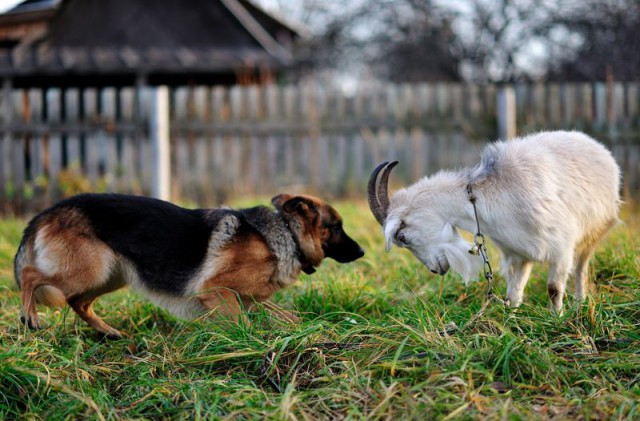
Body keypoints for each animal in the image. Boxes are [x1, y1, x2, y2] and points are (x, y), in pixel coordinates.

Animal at [15, 192, 362, 336]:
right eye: (336, 226)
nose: (361, 252)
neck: (285, 234)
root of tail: (48, 211)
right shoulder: (217, 291)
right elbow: (244, 325)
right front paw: (252, 345)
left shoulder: (249, 299)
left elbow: (290, 316)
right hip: (91, 269)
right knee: (31, 275)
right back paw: (30, 317)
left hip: (110, 275)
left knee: (78, 302)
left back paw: (108, 331)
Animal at [368, 130, 624, 310]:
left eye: (402, 236)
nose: (435, 270)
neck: (482, 196)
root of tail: (600, 149)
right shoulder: (517, 252)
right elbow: (514, 293)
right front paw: (512, 321)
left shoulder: (560, 247)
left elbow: (553, 289)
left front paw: (556, 320)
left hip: (594, 231)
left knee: (581, 268)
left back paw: (580, 304)